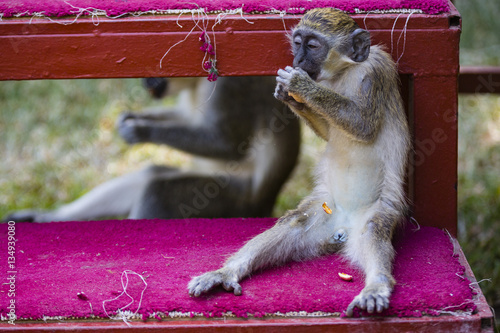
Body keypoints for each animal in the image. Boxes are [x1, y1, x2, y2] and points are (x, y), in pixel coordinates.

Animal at [2, 76, 300, 222]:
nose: (145, 81)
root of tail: (264, 205)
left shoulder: (231, 85)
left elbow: (228, 145)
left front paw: (141, 131)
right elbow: (185, 117)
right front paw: (132, 118)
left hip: (233, 201)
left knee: (158, 190)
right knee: (150, 174)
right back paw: (49, 218)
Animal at [188, 6, 410, 316]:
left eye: (313, 45)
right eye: (297, 42)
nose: (298, 60)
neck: (345, 71)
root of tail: (344, 226)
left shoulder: (375, 70)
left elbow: (363, 126)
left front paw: (299, 85)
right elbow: (329, 132)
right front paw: (288, 96)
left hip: (377, 212)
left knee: (372, 231)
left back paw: (376, 285)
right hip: (325, 209)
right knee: (294, 223)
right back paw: (227, 272)